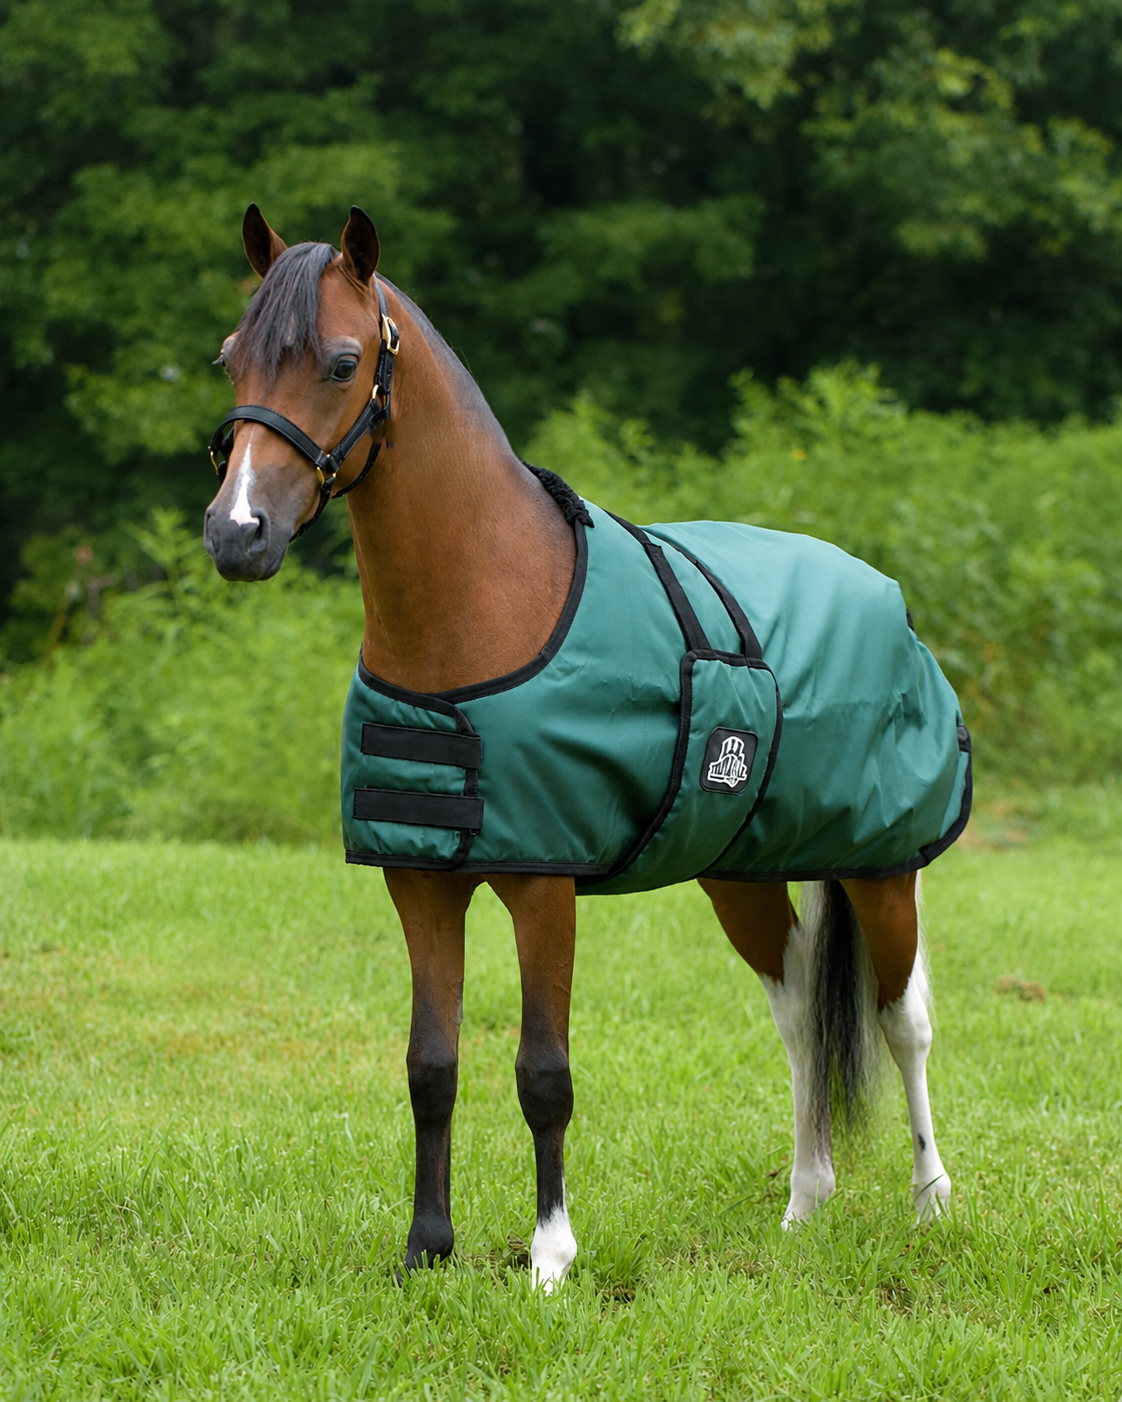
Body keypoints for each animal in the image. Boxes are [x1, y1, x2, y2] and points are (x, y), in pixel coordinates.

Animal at [203, 204, 967, 1290]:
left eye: (343, 361)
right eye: (232, 359)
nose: (238, 534)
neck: (480, 608)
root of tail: (881, 591)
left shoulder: (542, 885)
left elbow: (543, 1072)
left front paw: (551, 1258)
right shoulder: (421, 882)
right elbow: (430, 1067)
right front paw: (426, 1251)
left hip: (881, 865)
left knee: (906, 1020)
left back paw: (930, 1202)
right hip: (743, 875)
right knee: (795, 1012)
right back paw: (804, 1201)